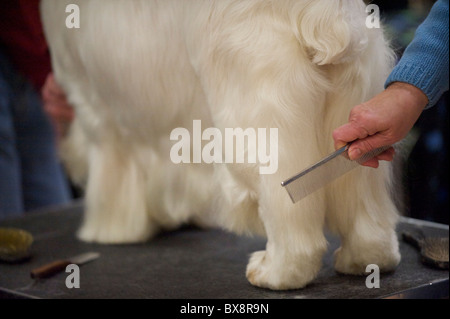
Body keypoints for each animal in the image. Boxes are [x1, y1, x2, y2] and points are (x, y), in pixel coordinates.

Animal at [41, 0, 400, 290]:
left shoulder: (98, 112)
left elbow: (112, 185)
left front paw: (109, 230)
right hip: (357, 121)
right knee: (366, 214)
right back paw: (363, 260)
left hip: (259, 128)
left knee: (289, 223)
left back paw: (274, 273)